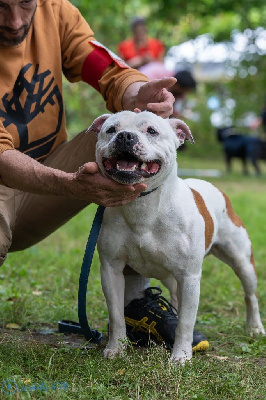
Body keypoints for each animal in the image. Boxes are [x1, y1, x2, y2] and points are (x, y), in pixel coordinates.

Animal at [89, 109, 264, 362]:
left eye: (152, 131)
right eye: (111, 130)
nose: (125, 136)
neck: (143, 205)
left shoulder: (189, 276)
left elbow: (185, 323)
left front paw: (181, 355)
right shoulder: (111, 270)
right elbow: (116, 315)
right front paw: (116, 348)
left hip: (242, 261)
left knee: (250, 295)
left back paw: (254, 328)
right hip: (168, 273)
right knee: (174, 295)